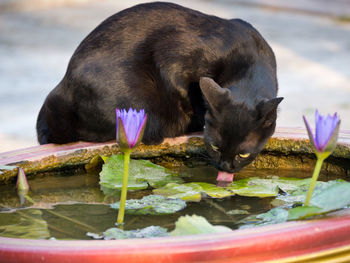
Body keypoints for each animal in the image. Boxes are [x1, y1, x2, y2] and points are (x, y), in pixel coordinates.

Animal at [36, 2, 282, 175]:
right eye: (215, 147)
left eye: (244, 153)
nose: (225, 167)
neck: (251, 58)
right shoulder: (172, 55)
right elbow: (184, 91)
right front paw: (196, 115)